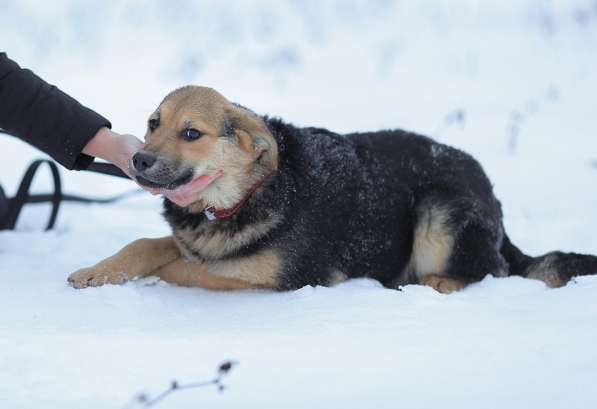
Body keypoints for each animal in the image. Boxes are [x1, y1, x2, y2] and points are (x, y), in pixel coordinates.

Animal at [67, 86, 596, 292]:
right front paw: (100, 271)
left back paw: (429, 283)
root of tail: (491, 194)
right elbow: (148, 245)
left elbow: (184, 268)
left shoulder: (271, 278)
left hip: (440, 209)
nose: (137, 159)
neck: (249, 193)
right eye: (153, 124)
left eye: (192, 133)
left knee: (492, 271)